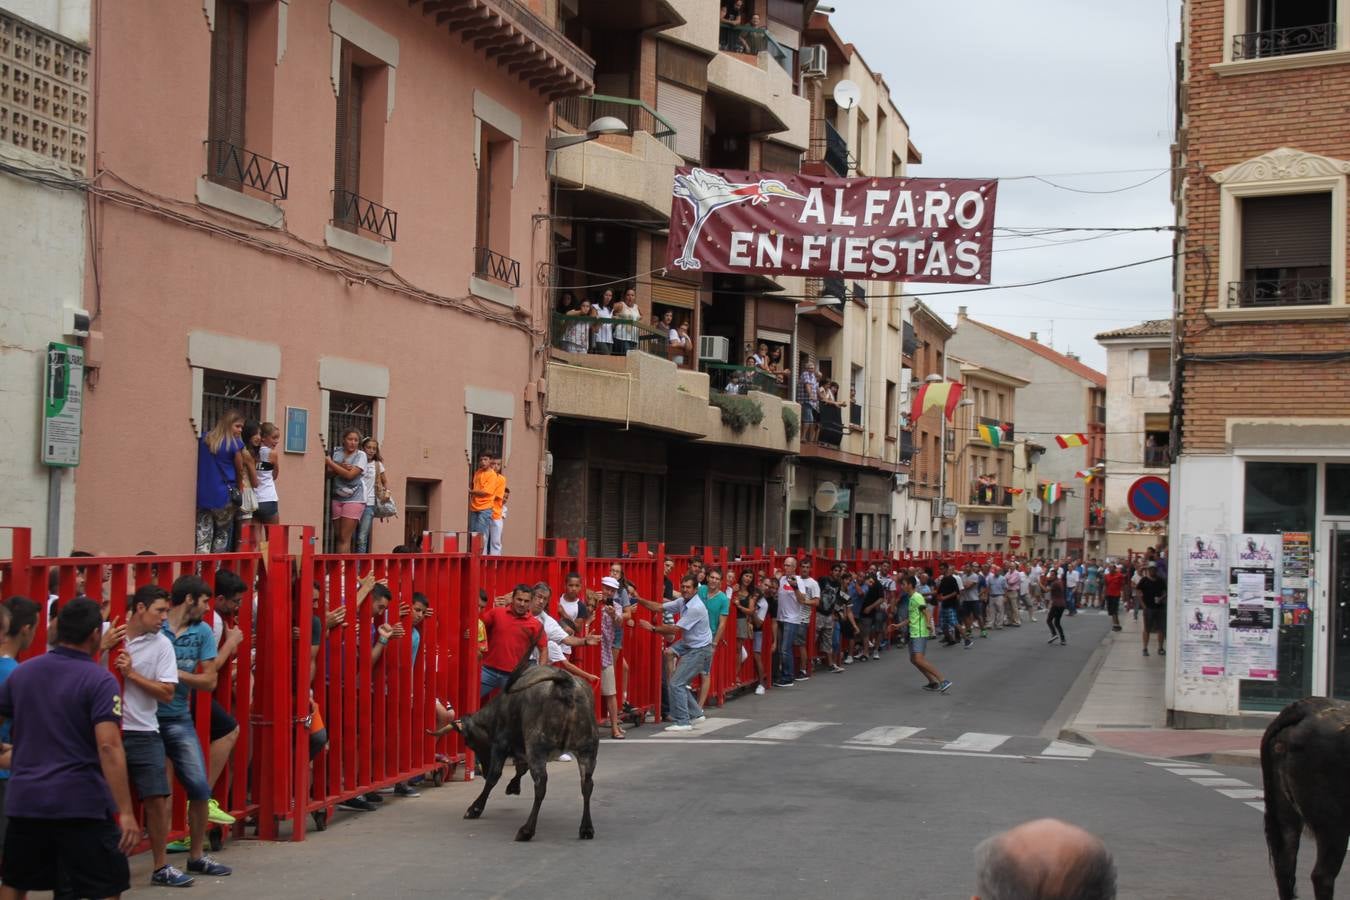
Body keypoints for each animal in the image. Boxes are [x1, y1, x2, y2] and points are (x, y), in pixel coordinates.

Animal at [429, 650, 599, 841]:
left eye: (469, 742)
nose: (483, 770)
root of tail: (565, 683)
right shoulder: (520, 748)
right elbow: (520, 768)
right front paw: (513, 786)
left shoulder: (501, 744)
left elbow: (494, 776)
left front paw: (475, 808)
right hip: (587, 749)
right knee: (587, 784)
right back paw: (586, 828)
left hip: (537, 747)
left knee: (541, 784)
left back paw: (526, 830)